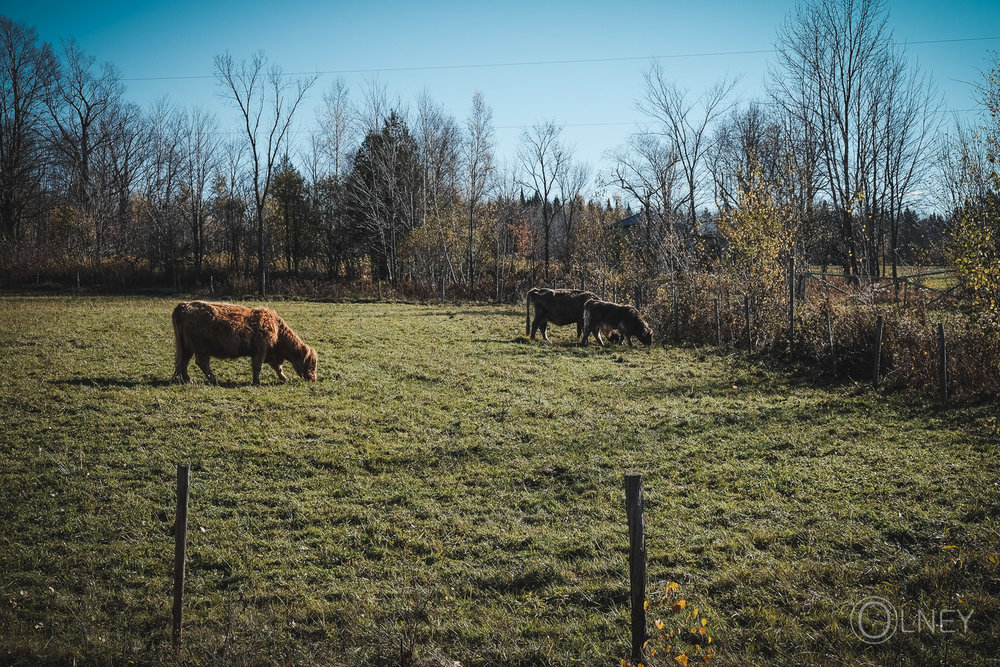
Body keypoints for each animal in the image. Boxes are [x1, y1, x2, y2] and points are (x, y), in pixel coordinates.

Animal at [172, 302, 318, 386]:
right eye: (311, 363)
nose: (314, 378)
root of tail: (184, 306)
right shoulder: (262, 350)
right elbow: (258, 366)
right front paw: (257, 382)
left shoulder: (270, 354)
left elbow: (278, 367)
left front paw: (284, 378)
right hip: (201, 348)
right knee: (201, 363)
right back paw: (213, 380)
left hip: (186, 346)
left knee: (184, 362)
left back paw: (187, 380)